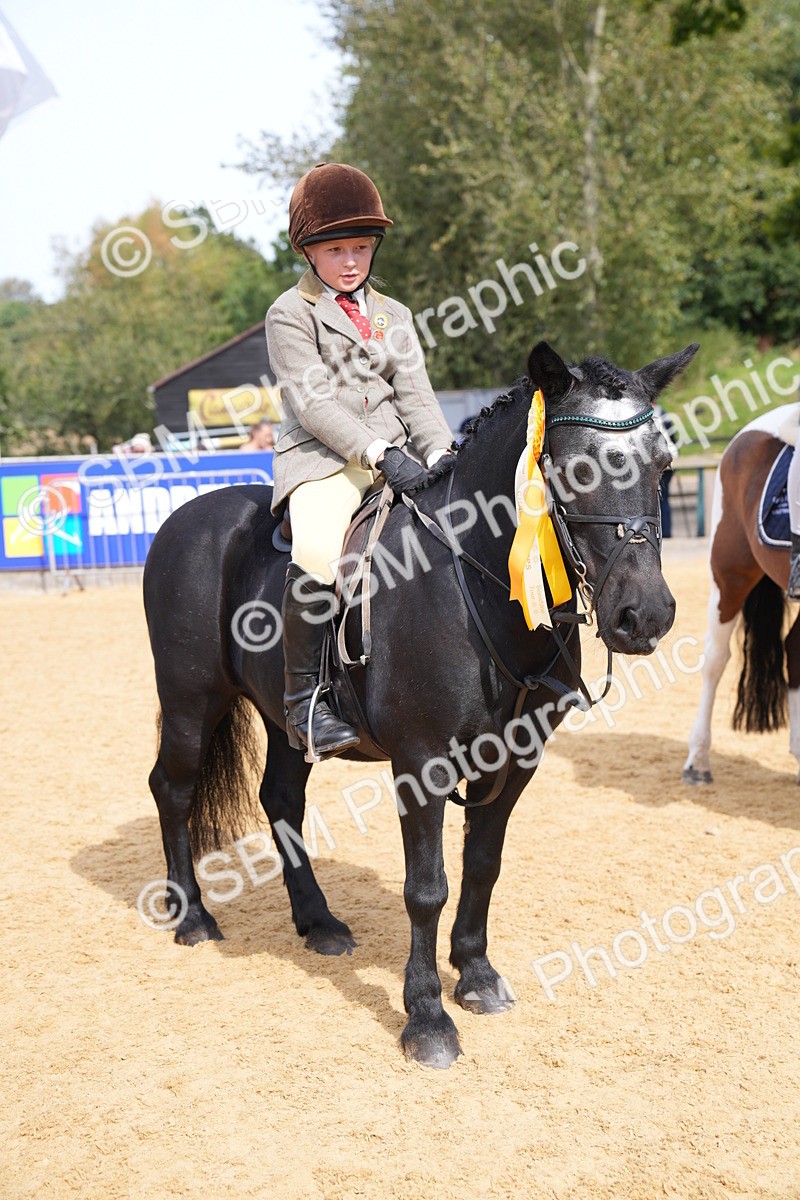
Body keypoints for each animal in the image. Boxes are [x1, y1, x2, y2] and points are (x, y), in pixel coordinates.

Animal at [143, 338, 697, 1069]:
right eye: (576, 466)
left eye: (663, 463)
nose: (645, 616)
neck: (478, 585)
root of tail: (187, 515)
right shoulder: (422, 763)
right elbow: (426, 888)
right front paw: (428, 1019)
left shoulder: (516, 761)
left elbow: (482, 866)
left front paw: (479, 976)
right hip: (190, 700)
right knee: (173, 790)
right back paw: (194, 917)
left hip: (287, 723)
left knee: (280, 798)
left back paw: (318, 922)